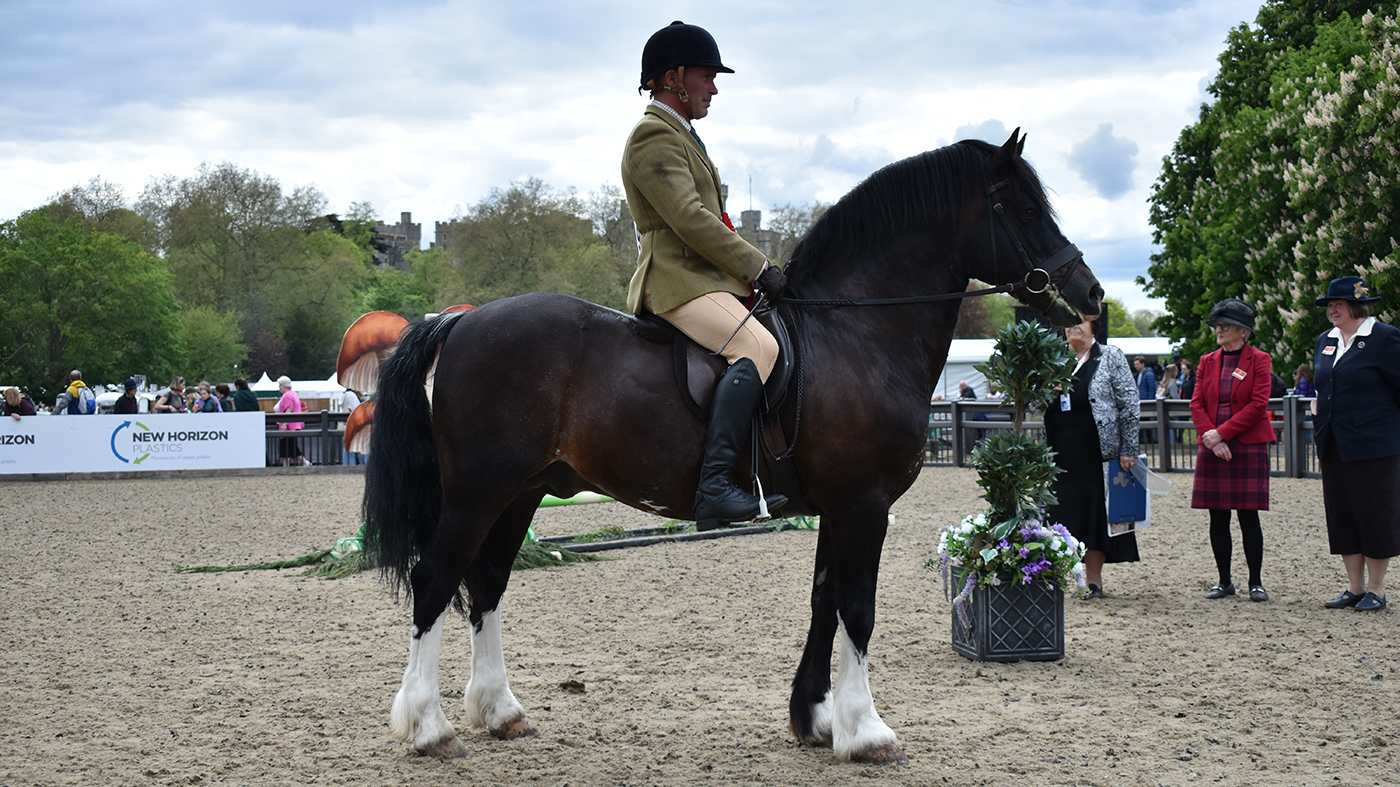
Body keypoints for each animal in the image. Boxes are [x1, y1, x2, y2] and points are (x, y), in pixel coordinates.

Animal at [363, 129, 1103, 764]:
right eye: (1022, 207)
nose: (1090, 292)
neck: (856, 335)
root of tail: (458, 324)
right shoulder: (864, 504)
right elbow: (858, 610)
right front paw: (866, 731)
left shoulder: (838, 507)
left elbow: (825, 604)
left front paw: (817, 719)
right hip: (476, 493)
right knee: (436, 582)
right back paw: (428, 726)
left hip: (521, 492)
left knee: (486, 583)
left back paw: (501, 712)